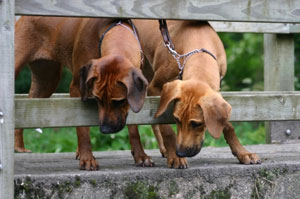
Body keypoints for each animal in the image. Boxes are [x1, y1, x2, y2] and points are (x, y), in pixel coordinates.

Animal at [14, 16, 152, 170]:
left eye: (119, 101)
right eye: (97, 99)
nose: (105, 130)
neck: (116, 32)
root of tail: (23, 17)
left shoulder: (131, 99)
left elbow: (133, 127)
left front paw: (140, 155)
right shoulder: (76, 88)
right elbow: (82, 128)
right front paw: (87, 158)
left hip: (47, 79)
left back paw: (18, 146)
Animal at [134, 19, 260, 166]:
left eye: (196, 124)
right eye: (176, 119)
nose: (180, 152)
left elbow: (227, 125)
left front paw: (242, 152)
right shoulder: (155, 87)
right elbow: (167, 128)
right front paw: (175, 157)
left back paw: (162, 149)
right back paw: (140, 155)